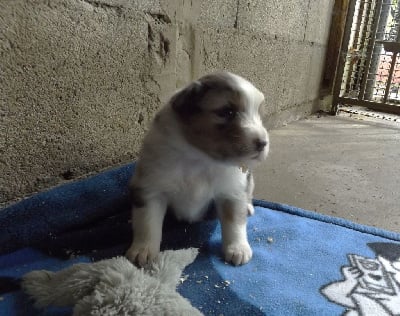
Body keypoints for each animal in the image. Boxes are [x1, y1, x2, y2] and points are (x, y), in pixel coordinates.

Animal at [125, 72, 268, 266]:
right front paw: (143, 250)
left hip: (249, 180)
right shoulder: (151, 188)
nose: (263, 143)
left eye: (258, 113)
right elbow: (147, 223)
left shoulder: (232, 191)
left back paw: (248, 207)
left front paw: (238, 249)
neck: (199, 159)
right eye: (227, 112)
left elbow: (234, 222)